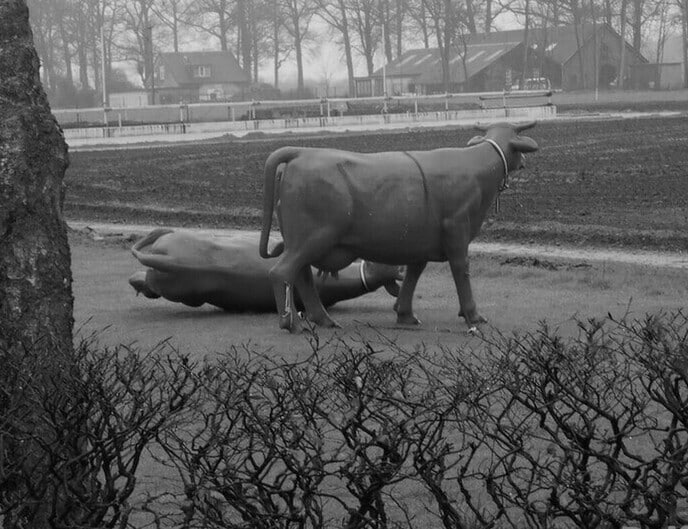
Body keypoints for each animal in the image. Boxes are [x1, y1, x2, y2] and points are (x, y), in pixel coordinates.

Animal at [259, 121, 539, 332]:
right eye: (518, 140)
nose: (525, 160)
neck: (476, 168)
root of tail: (302, 152)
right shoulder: (457, 230)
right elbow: (462, 270)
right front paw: (473, 316)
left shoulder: (422, 239)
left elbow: (414, 272)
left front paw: (404, 314)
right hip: (314, 237)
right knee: (281, 272)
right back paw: (292, 324)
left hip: (302, 240)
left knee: (302, 276)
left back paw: (324, 320)